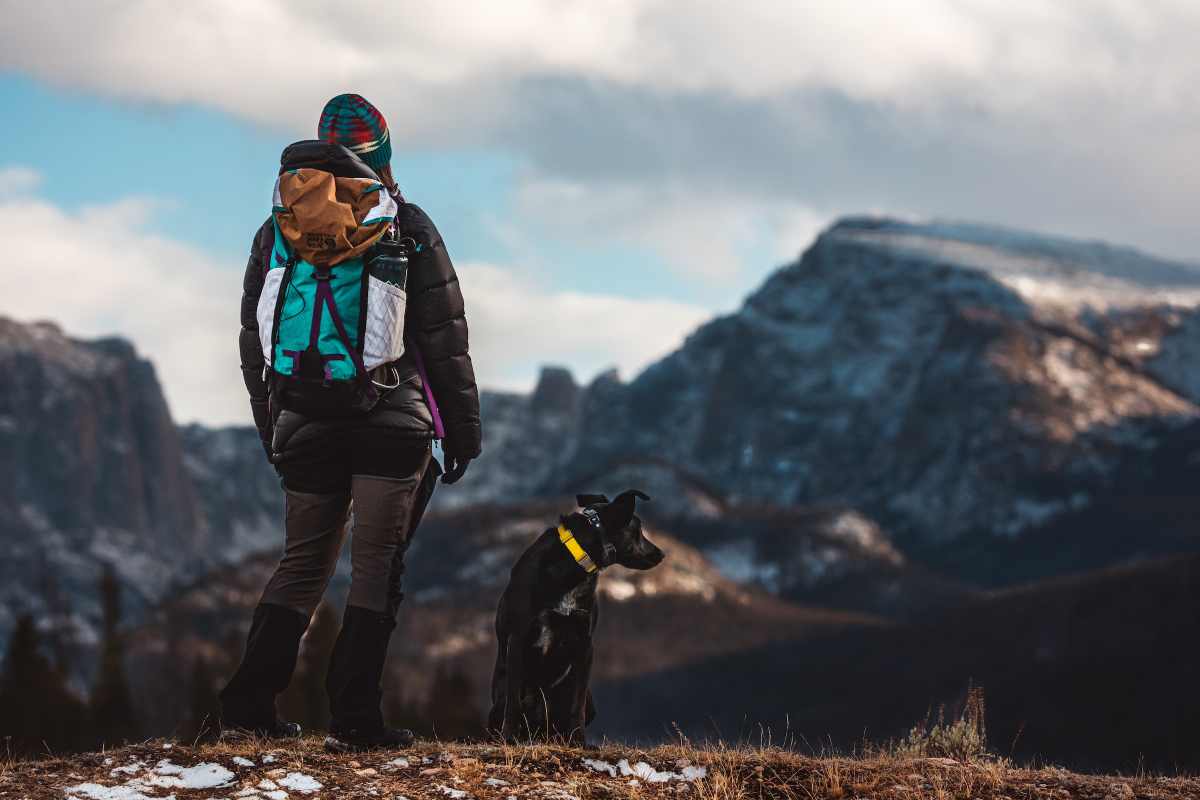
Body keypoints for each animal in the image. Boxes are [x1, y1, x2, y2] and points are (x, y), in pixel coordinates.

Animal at [484, 489, 662, 743]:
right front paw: (508, 738)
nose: (661, 554)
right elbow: (514, 701)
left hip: (588, 702)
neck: (573, 565)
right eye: (638, 532)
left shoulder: (585, 644)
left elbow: (576, 705)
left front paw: (579, 741)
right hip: (499, 703)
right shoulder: (517, 639)